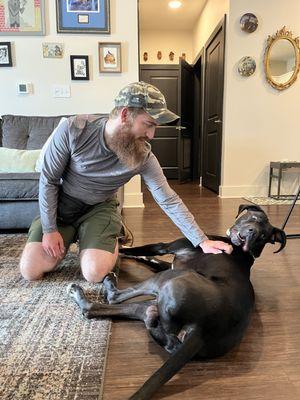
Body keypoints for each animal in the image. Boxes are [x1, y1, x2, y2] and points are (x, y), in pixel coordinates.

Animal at [68, 206, 286, 400]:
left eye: (263, 235)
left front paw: (121, 249)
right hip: (151, 305)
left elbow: (138, 249)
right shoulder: (167, 262)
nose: (252, 233)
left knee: (114, 297)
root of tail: (203, 330)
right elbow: (150, 258)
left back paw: (107, 281)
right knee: (95, 309)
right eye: (256, 219)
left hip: (167, 279)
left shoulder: (164, 247)